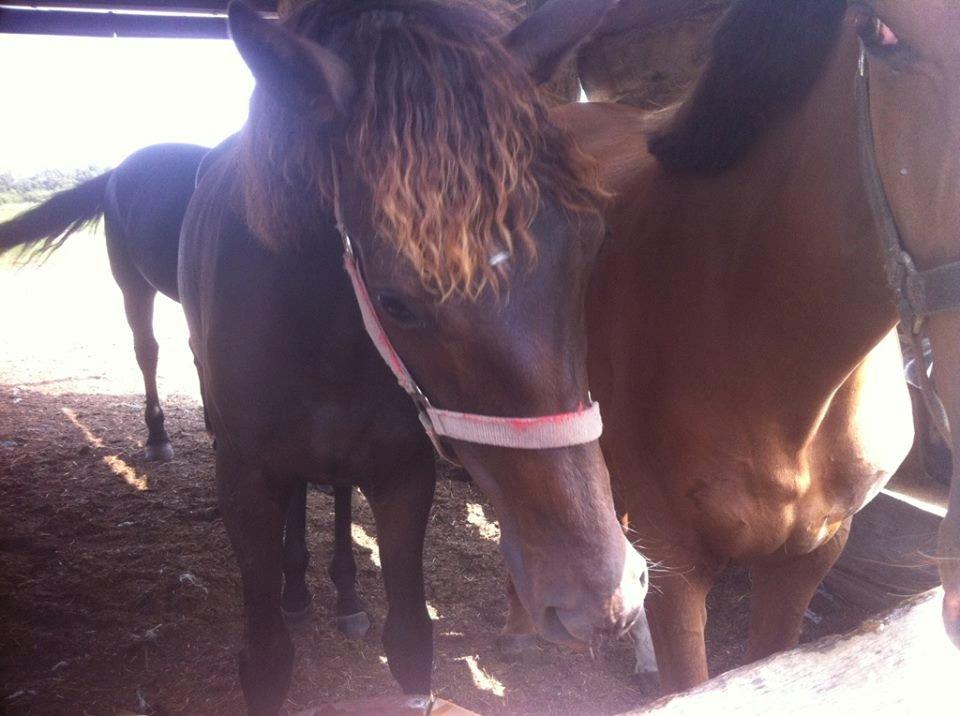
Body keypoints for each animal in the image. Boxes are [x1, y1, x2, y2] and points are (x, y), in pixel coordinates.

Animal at [180, 0, 644, 712]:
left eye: (591, 242)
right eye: (395, 301)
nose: (603, 599)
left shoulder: (403, 474)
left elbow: (409, 642)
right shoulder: (244, 479)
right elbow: (265, 661)